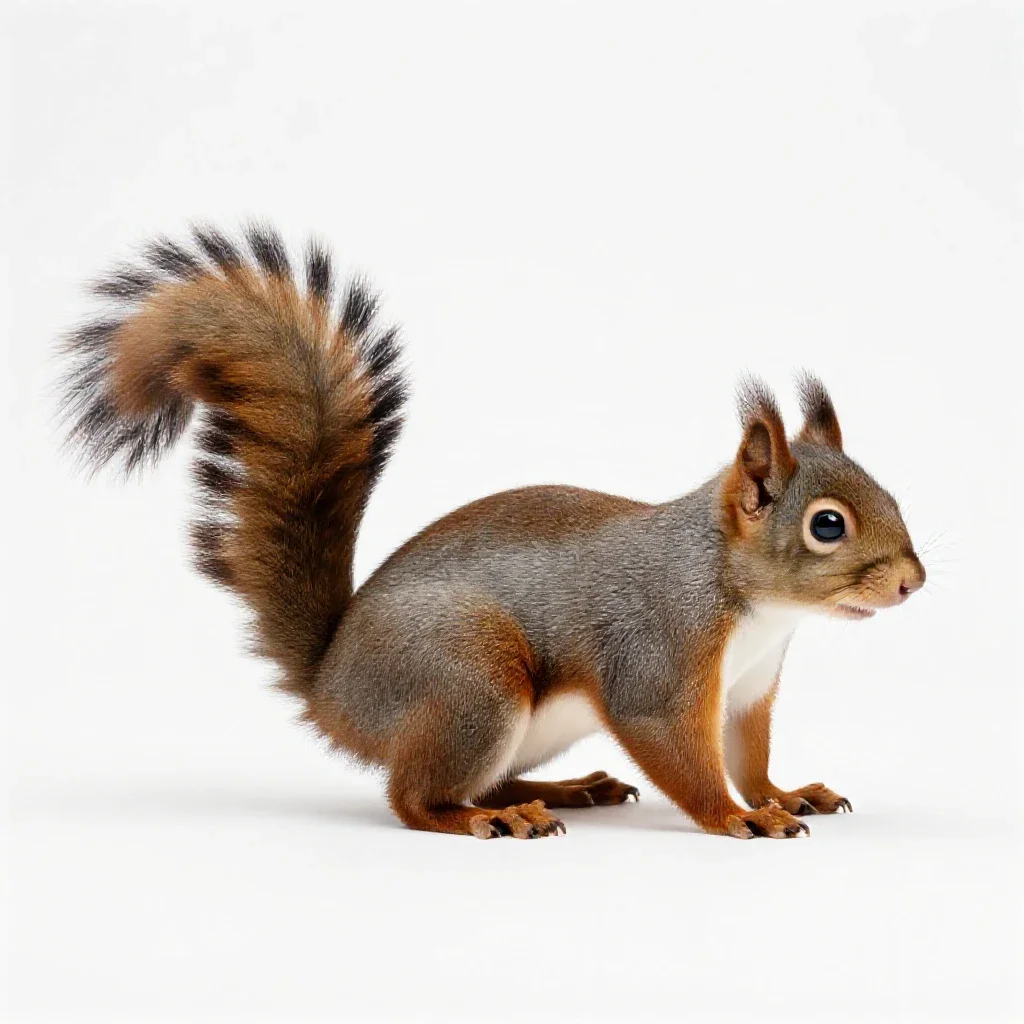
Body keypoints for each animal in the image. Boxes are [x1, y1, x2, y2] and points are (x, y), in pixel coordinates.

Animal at [59, 225, 926, 841]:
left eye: (888, 492)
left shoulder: (749, 691)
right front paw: (738, 817)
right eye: (826, 525)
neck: (748, 599)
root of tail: (332, 685)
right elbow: (684, 756)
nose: (913, 582)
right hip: (469, 680)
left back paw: (565, 789)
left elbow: (750, 755)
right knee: (416, 796)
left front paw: (785, 794)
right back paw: (489, 818)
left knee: (483, 775)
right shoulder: (658, 658)